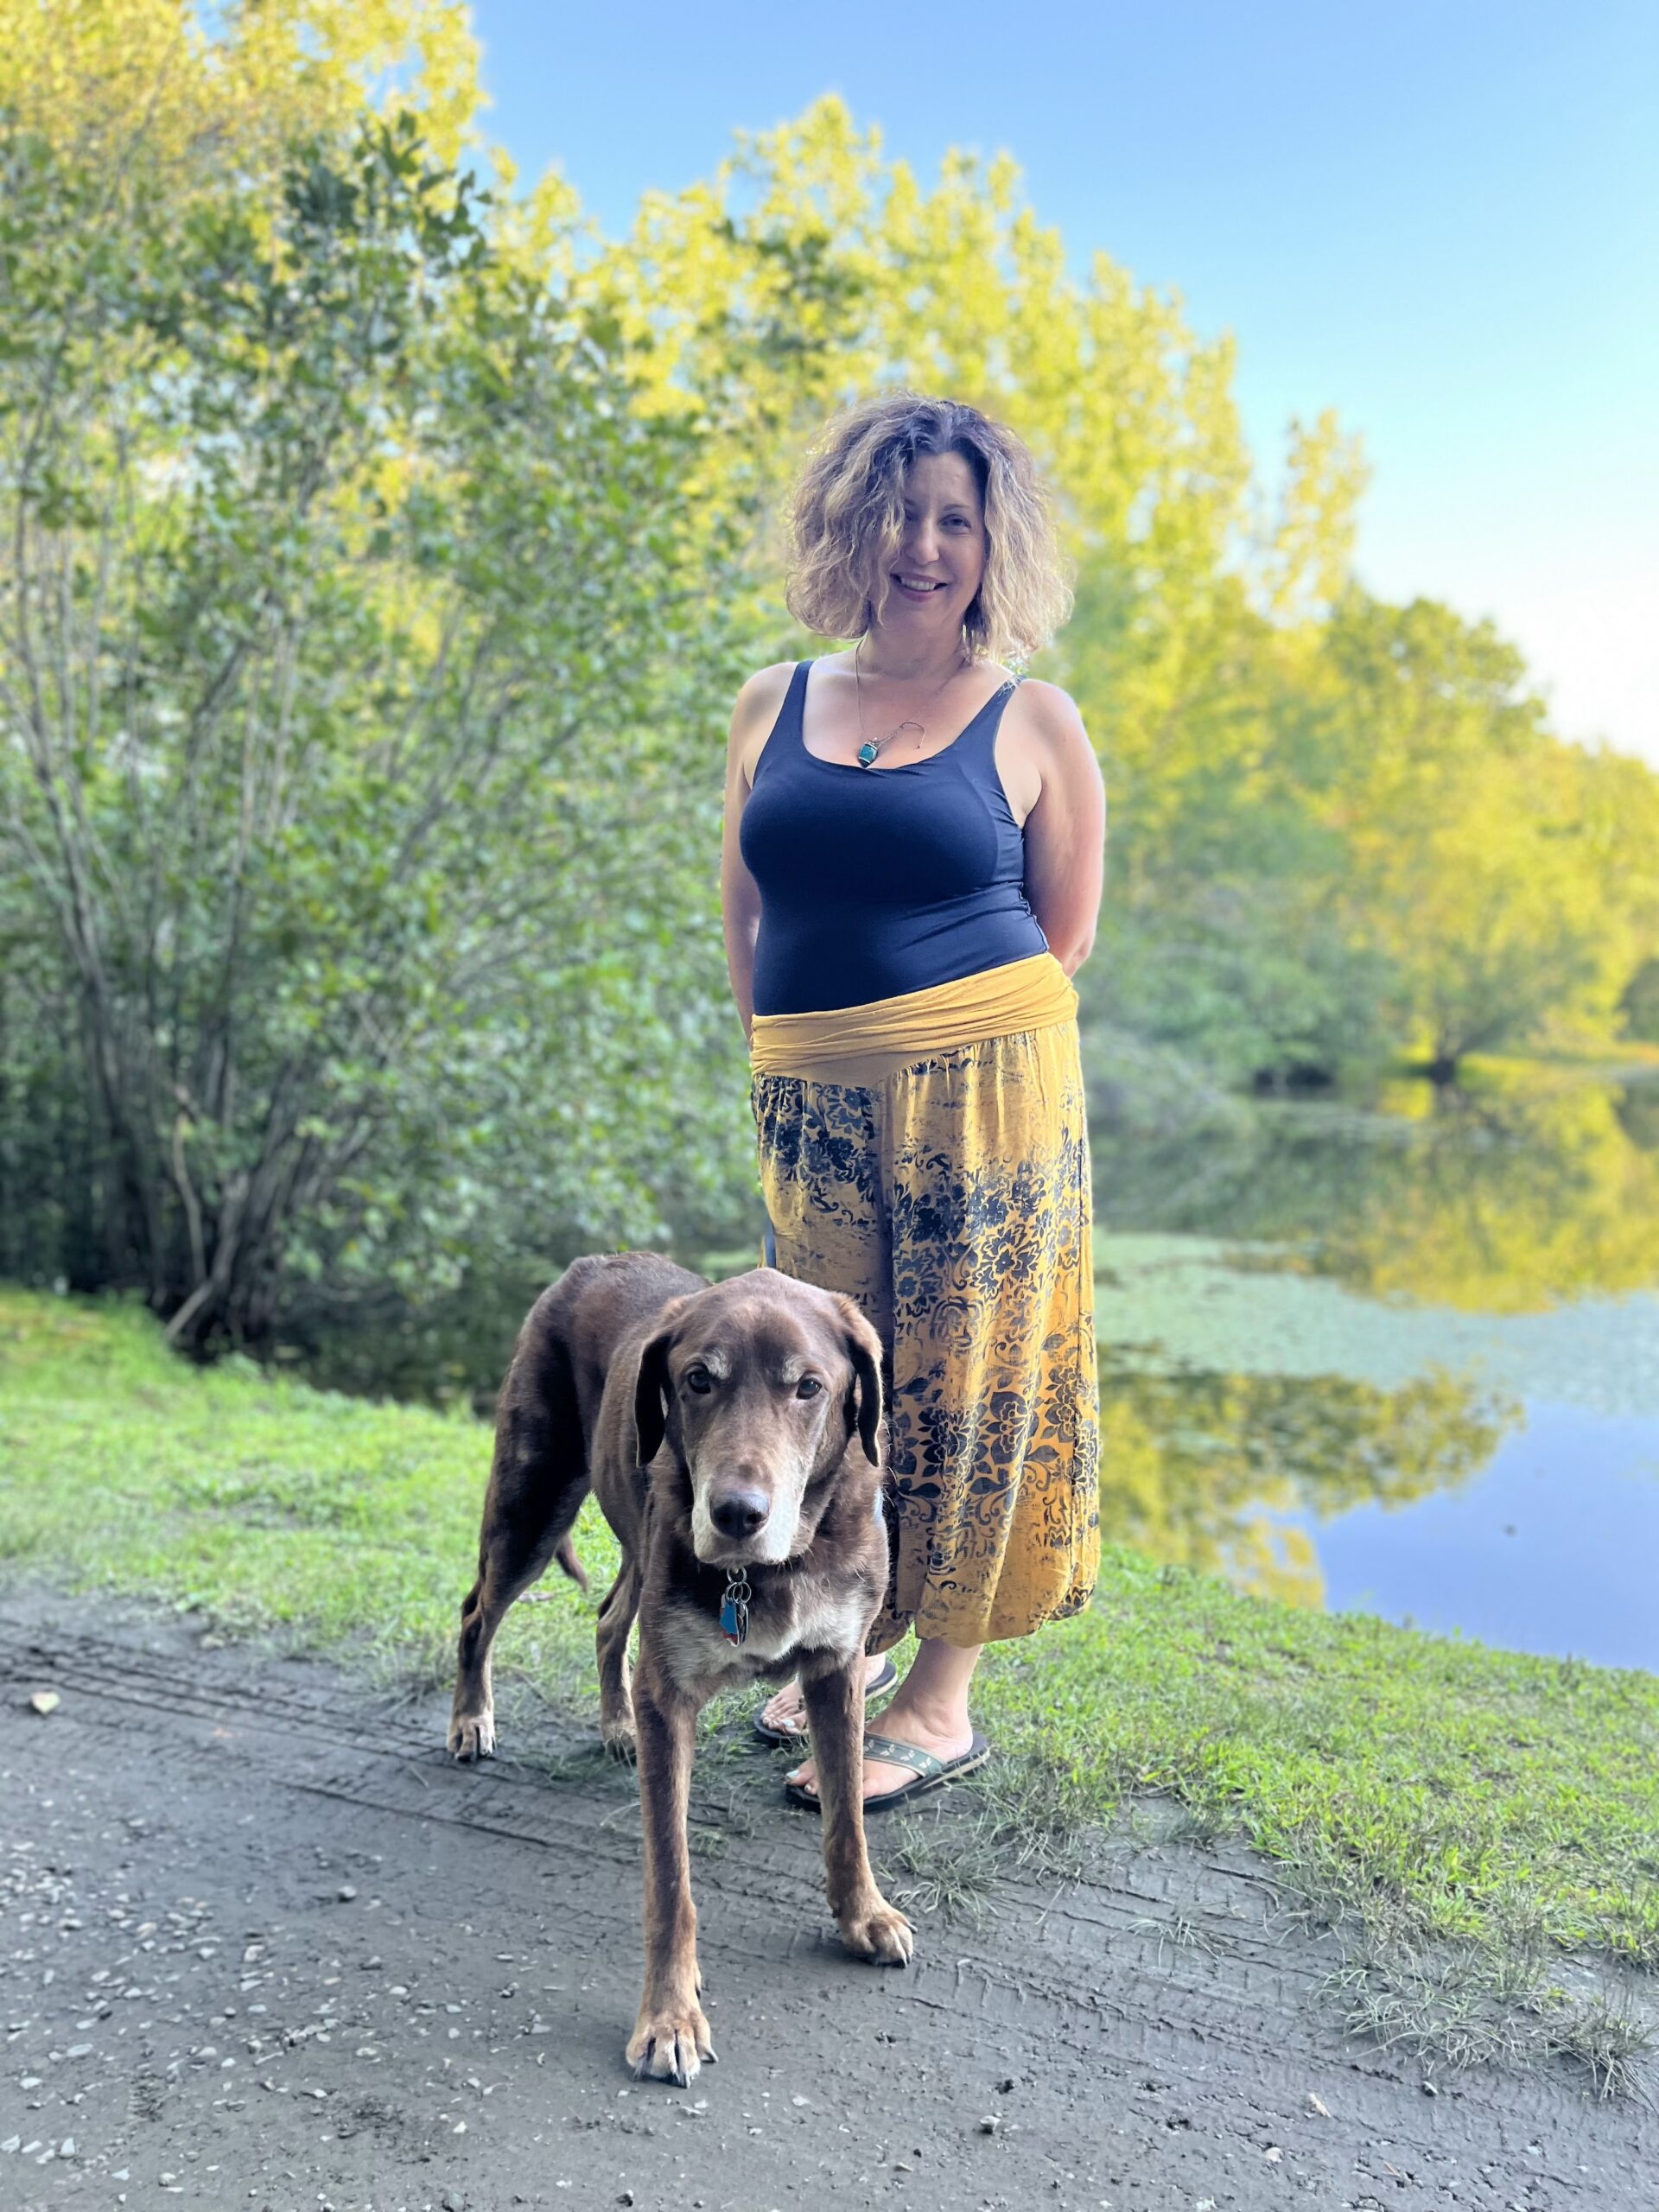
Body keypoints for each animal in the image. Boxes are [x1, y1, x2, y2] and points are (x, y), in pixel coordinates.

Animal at [448, 1256, 915, 2079]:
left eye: (809, 1386)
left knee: (609, 1619)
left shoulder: (838, 1668)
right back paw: (473, 1717)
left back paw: (616, 1726)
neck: (772, 1569)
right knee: (478, 1614)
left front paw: (863, 1914)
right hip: (531, 1501)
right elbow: (671, 1880)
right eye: (699, 1379)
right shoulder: (671, 1696)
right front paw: (669, 2016)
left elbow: (847, 1818)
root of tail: (585, 1267)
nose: (736, 1514)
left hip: (633, 1539)